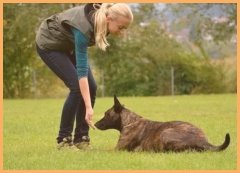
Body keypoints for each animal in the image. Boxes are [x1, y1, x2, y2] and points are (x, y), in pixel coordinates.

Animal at [94, 96, 231, 153]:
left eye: (106, 114)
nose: (94, 124)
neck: (130, 121)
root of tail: (203, 141)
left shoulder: (117, 149)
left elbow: (99, 151)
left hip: (165, 133)